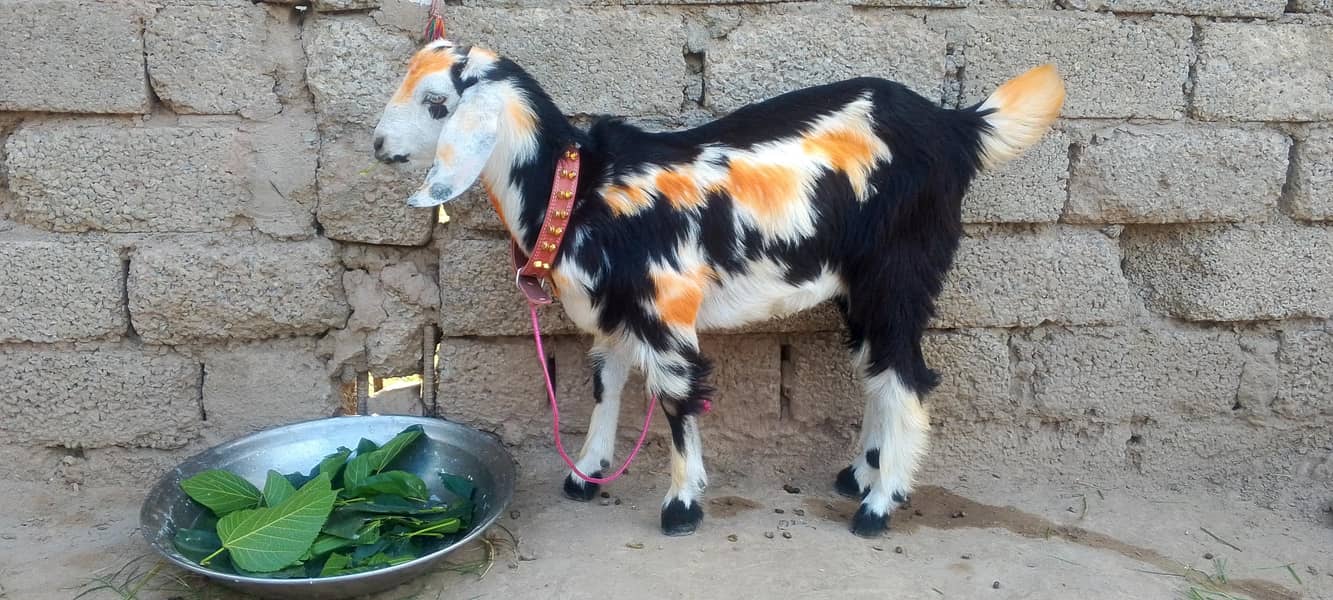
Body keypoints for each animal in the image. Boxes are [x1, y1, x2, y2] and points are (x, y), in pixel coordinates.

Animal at [373, 40, 1064, 537]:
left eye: (437, 103)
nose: (379, 146)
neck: (581, 188)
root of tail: (956, 128)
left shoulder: (666, 308)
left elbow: (677, 399)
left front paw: (681, 505)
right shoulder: (618, 313)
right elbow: (605, 386)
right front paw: (588, 474)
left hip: (899, 271)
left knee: (909, 378)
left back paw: (878, 506)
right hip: (862, 285)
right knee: (879, 369)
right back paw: (859, 475)